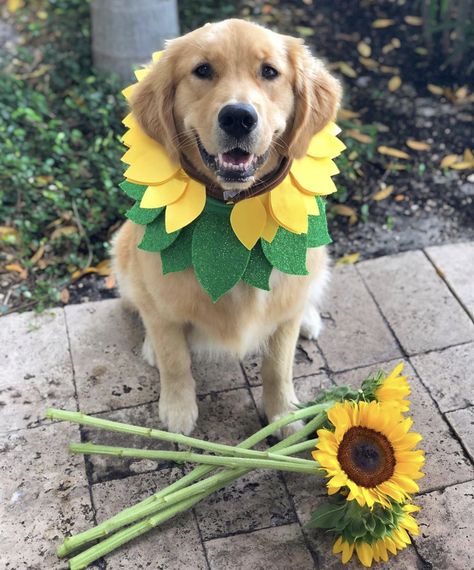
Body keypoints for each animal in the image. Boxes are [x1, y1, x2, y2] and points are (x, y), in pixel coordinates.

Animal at [112, 20, 340, 432]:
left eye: (269, 72)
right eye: (202, 70)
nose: (238, 117)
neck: (232, 212)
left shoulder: (282, 313)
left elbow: (278, 366)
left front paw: (283, 415)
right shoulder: (159, 298)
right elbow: (174, 358)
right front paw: (178, 410)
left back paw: (309, 317)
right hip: (122, 251)